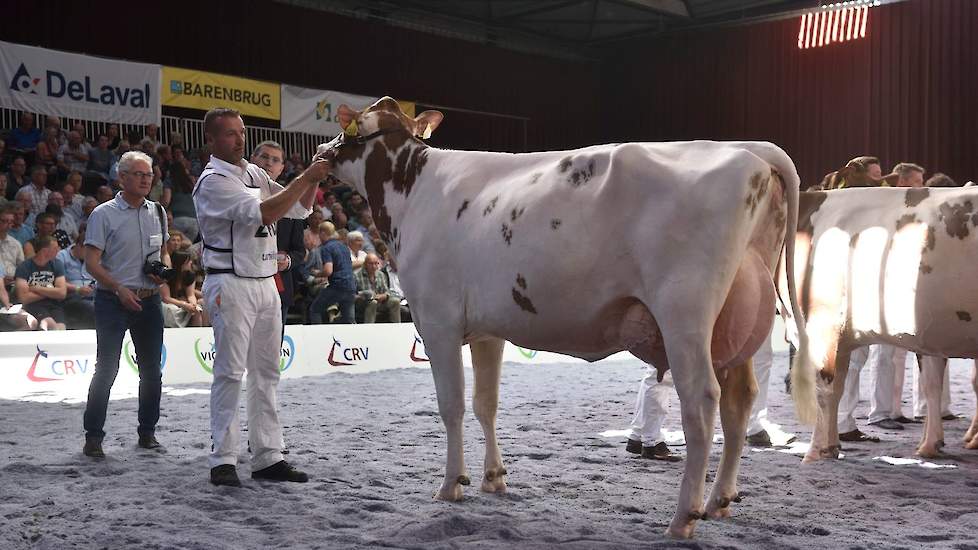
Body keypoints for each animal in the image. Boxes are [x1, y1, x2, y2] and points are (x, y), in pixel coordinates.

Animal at [318, 98, 808, 540]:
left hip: (684, 309)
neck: (413, 187)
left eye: (347, 125)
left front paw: (451, 484)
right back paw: (720, 500)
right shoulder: (488, 330)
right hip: (739, 319)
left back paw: (684, 517)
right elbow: (485, 403)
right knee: (739, 398)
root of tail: (749, 150)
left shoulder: (436, 319)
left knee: (702, 401)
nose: (322, 150)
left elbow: (451, 405)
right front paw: (493, 478)